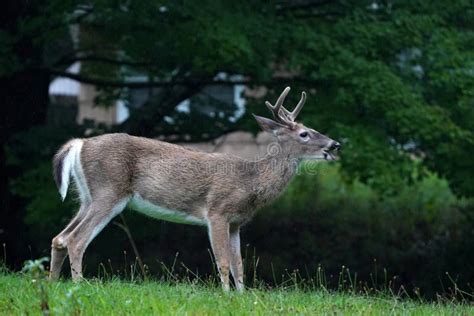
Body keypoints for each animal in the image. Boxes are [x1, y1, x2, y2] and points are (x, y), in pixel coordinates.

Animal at [49, 86, 340, 292]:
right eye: (304, 134)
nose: (335, 144)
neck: (251, 181)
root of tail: (79, 143)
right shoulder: (218, 211)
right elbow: (223, 261)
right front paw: (226, 296)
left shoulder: (236, 222)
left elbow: (239, 265)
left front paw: (244, 297)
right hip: (108, 191)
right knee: (76, 240)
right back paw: (78, 285)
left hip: (87, 197)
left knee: (60, 238)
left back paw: (53, 284)